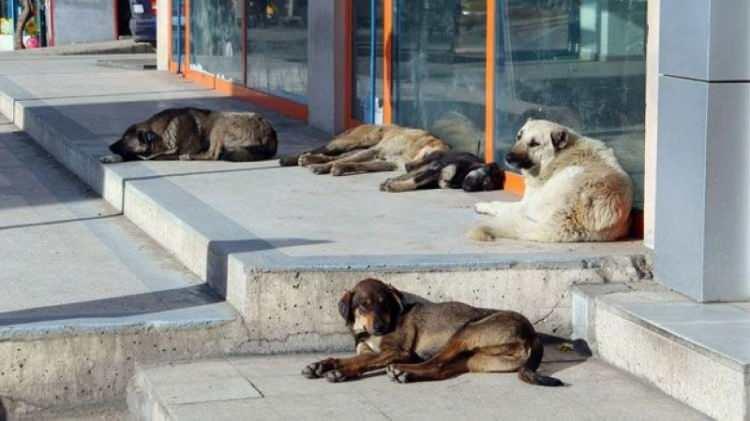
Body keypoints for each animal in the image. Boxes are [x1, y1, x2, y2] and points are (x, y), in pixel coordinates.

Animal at [98, 106, 278, 162]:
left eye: (124, 139)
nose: (109, 147)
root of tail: (271, 132)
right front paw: (110, 158)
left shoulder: (168, 153)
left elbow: (140, 156)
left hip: (220, 124)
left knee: (213, 155)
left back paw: (190, 157)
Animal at [280, 124, 450, 177]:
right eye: (427, 156)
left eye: (431, 166)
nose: (408, 168)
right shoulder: (377, 150)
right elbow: (345, 160)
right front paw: (323, 168)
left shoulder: (388, 163)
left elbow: (357, 164)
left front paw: (340, 168)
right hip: (350, 142)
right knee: (318, 150)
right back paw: (292, 159)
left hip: (354, 148)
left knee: (333, 156)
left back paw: (312, 160)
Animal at [302, 278, 568, 386]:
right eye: (363, 305)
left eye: (384, 304)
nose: (379, 327)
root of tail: (532, 333)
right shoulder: (368, 350)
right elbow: (353, 359)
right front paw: (322, 364)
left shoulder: (398, 352)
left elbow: (360, 363)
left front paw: (338, 371)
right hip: (475, 359)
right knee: (441, 370)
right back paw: (406, 375)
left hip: (466, 332)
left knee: (435, 363)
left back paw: (402, 372)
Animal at [470, 118, 636, 243]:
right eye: (519, 136)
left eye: (535, 143)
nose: (508, 157)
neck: (560, 155)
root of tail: (570, 216)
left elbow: (501, 204)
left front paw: (484, 205)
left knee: (512, 211)